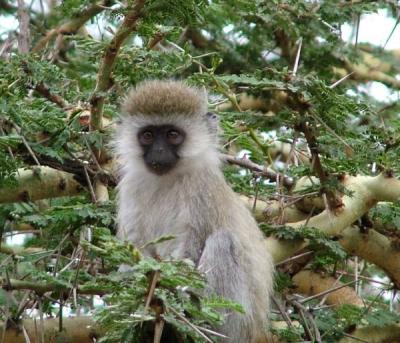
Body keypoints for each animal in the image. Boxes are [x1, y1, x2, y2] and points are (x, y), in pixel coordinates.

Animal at [114, 80, 274, 343]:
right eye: (148, 135)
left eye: (172, 135)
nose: (158, 153)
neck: (167, 179)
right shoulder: (131, 188)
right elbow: (135, 250)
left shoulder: (201, 190)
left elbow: (189, 250)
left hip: (237, 322)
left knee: (223, 242)